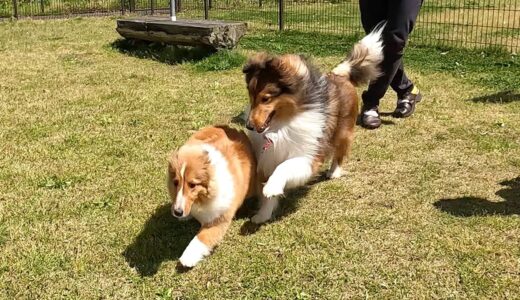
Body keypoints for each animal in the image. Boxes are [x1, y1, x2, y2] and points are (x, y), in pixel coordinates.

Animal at [167, 125, 256, 266]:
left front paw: (187, 258)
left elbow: (201, 237)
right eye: (176, 182)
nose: (177, 212)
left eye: (192, 185)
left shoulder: (219, 220)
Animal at [244, 25, 386, 223]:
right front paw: (262, 215)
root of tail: (340, 74)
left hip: (343, 132)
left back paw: (334, 172)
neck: (282, 124)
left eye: (266, 98)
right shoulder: (269, 157)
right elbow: (268, 193)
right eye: (250, 96)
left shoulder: (308, 157)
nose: (249, 126)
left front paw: (271, 187)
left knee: (340, 153)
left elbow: (283, 168)